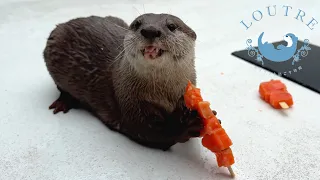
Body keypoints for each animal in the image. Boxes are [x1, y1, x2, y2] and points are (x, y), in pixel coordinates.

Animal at [43, 13, 220, 150]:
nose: (150, 30)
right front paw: (186, 126)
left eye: (171, 25)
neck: (164, 94)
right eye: (137, 24)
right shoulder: (130, 104)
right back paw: (63, 101)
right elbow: (151, 131)